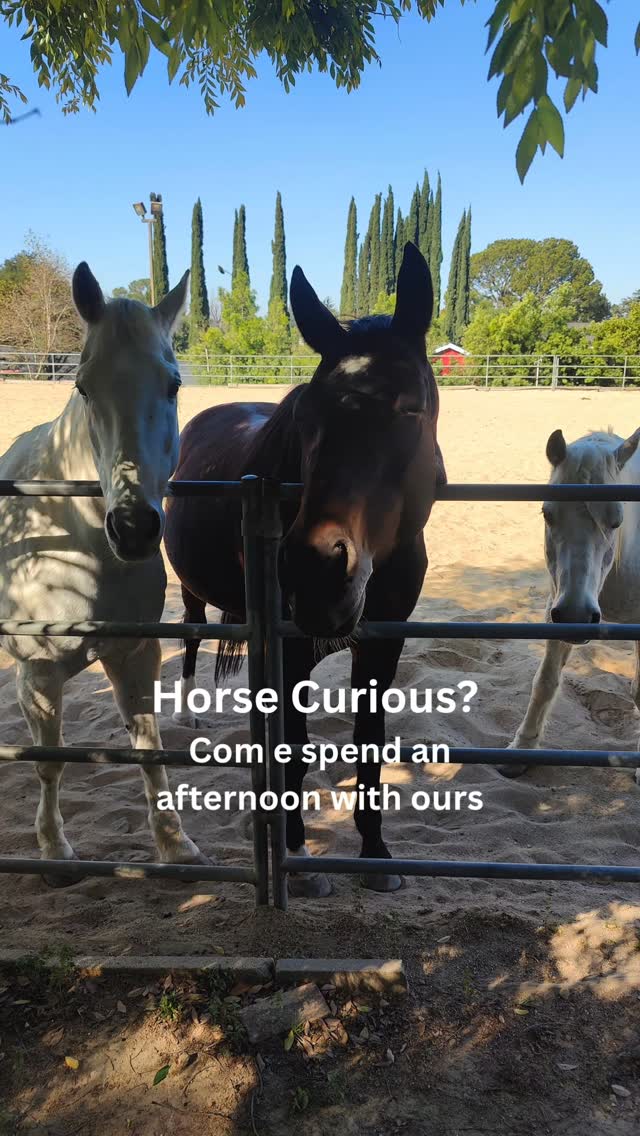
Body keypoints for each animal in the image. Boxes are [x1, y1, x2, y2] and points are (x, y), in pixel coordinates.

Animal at [0, 263, 206, 882]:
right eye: (84, 386)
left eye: (173, 385)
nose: (133, 527)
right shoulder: (38, 677)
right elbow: (49, 764)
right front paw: (53, 852)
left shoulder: (135, 656)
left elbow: (149, 749)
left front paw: (174, 846)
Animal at [164, 241, 445, 896]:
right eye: (307, 420)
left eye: (411, 409)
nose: (317, 572)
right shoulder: (292, 649)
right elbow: (292, 744)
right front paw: (295, 852)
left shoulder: (383, 646)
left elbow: (368, 742)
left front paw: (375, 854)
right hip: (191, 591)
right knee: (190, 637)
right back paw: (188, 710)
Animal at [502, 426, 640, 779]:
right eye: (547, 513)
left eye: (617, 520)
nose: (577, 615)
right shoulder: (557, 608)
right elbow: (545, 681)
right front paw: (522, 748)